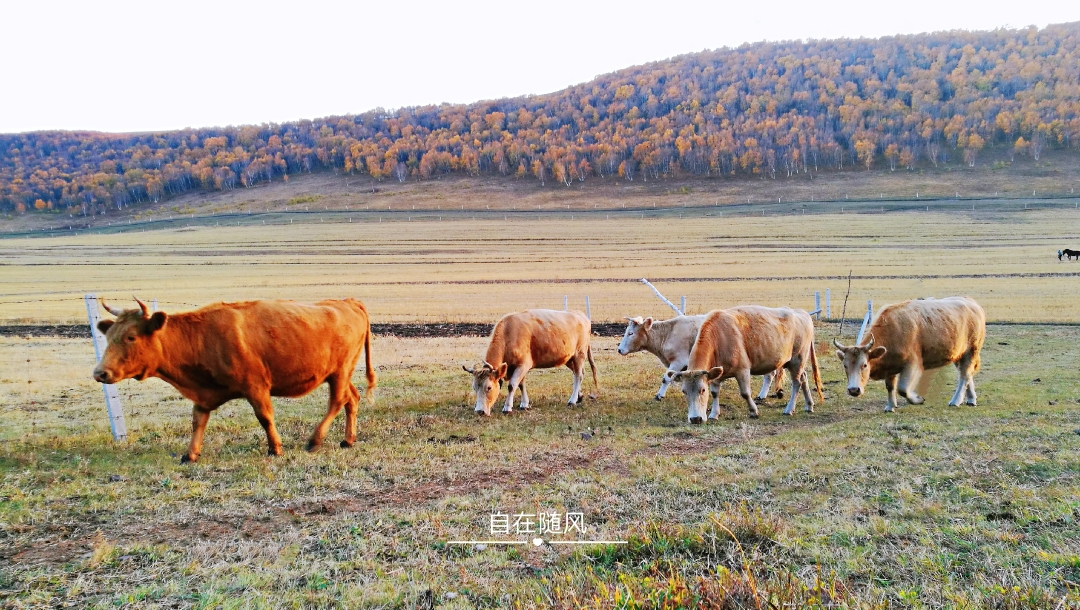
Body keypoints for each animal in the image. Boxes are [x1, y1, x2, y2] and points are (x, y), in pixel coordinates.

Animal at [93, 295, 380, 462]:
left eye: (131, 337)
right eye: (109, 336)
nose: (100, 373)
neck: (200, 336)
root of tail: (348, 301)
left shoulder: (256, 386)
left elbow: (265, 417)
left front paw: (275, 448)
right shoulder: (203, 394)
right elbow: (197, 421)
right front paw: (190, 454)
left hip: (339, 372)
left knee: (337, 401)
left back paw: (314, 440)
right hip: (337, 374)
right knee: (351, 399)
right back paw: (348, 440)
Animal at [464, 308, 600, 414]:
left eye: (489, 387)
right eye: (474, 387)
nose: (479, 411)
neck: (509, 333)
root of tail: (581, 315)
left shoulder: (523, 365)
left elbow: (512, 385)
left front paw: (507, 407)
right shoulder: (518, 367)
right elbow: (521, 385)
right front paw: (524, 404)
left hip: (579, 354)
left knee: (578, 376)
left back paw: (572, 400)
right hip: (568, 359)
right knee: (579, 374)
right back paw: (579, 396)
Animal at [617, 313, 786, 403]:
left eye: (631, 333)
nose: (619, 349)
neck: (668, 333)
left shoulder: (678, 361)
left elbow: (666, 378)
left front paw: (659, 395)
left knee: (769, 375)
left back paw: (762, 395)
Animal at [669, 306, 820, 421]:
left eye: (702, 390)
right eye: (684, 391)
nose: (695, 419)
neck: (719, 338)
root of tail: (802, 313)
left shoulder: (742, 370)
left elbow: (745, 393)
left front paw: (754, 411)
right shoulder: (715, 374)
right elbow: (715, 393)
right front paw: (714, 414)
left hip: (797, 359)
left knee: (797, 383)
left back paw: (789, 409)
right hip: (793, 363)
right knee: (804, 377)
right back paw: (809, 405)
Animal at [833, 293, 989, 408]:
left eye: (864, 365)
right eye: (845, 365)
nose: (853, 390)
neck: (893, 330)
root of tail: (972, 303)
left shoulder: (913, 365)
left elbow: (902, 389)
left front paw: (918, 399)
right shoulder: (890, 366)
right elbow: (890, 386)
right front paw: (890, 406)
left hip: (971, 350)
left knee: (964, 375)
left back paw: (956, 401)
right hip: (958, 354)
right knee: (967, 373)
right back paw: (971, 399)